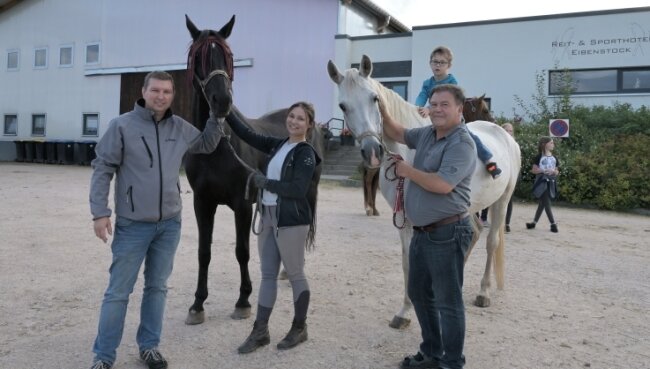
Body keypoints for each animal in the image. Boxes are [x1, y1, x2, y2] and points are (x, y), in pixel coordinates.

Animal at [181, 15, 320, 324]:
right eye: (199, 56)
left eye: (229, 56)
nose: (222, 101)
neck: (217, 145)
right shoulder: (202, 203)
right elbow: (203, 252)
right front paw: (197, 303)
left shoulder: (242, 204)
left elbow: (241, 251)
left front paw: (243, 300)